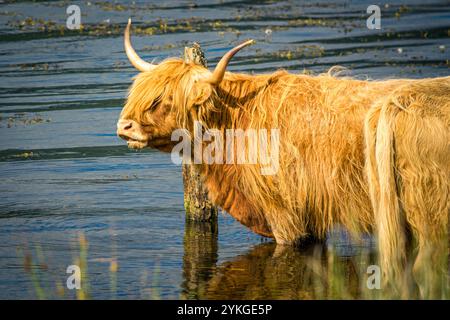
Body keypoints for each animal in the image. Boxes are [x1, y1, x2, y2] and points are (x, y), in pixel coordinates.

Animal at [118, 20, 448, 296]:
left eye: (161, 100)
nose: (124, 126)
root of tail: (397, 103)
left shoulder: (285, 216)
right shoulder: (311, 219)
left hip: (429, 214)